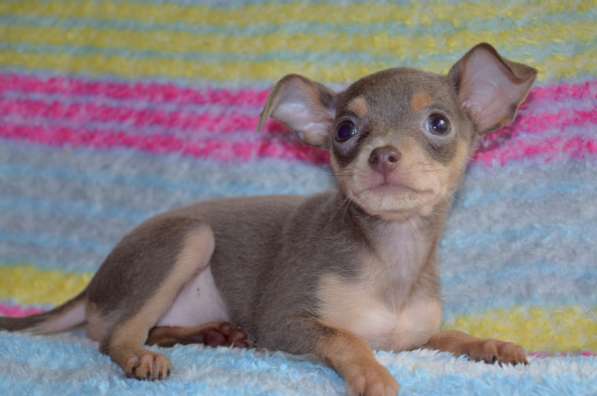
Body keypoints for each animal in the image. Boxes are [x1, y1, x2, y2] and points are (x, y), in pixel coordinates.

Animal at [0, 41, 536, 394]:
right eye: (345, 130)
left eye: (439, 124)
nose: (382, 155)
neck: (392, 255)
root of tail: (93, 286)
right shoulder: (284, 323)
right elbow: (346, 338)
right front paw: (375, 375)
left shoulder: (415, 337)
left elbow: (452, 336)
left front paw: (491, 343)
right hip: (191, 237)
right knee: (115, 335)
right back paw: (142, 356)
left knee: (145, 326)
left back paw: (212, 333)